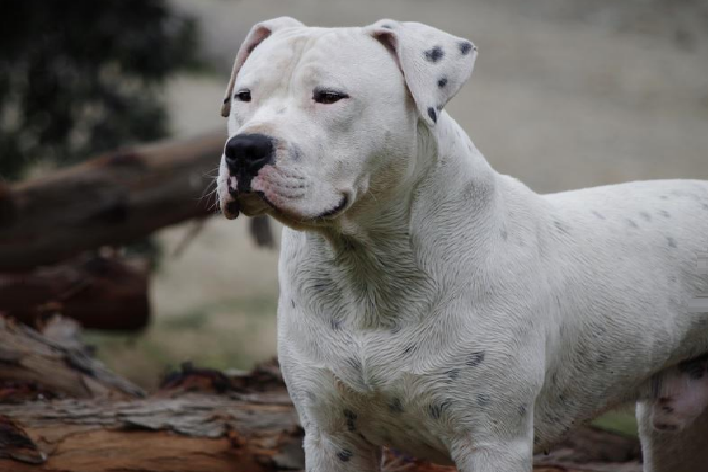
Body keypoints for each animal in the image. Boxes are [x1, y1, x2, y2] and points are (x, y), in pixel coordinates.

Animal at [216, 16, 708, 470]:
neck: (367, 269)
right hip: (673, 430)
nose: (244, 149)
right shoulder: (333, 438)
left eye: (329, 96)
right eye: (244, 96)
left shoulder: (491, 442)